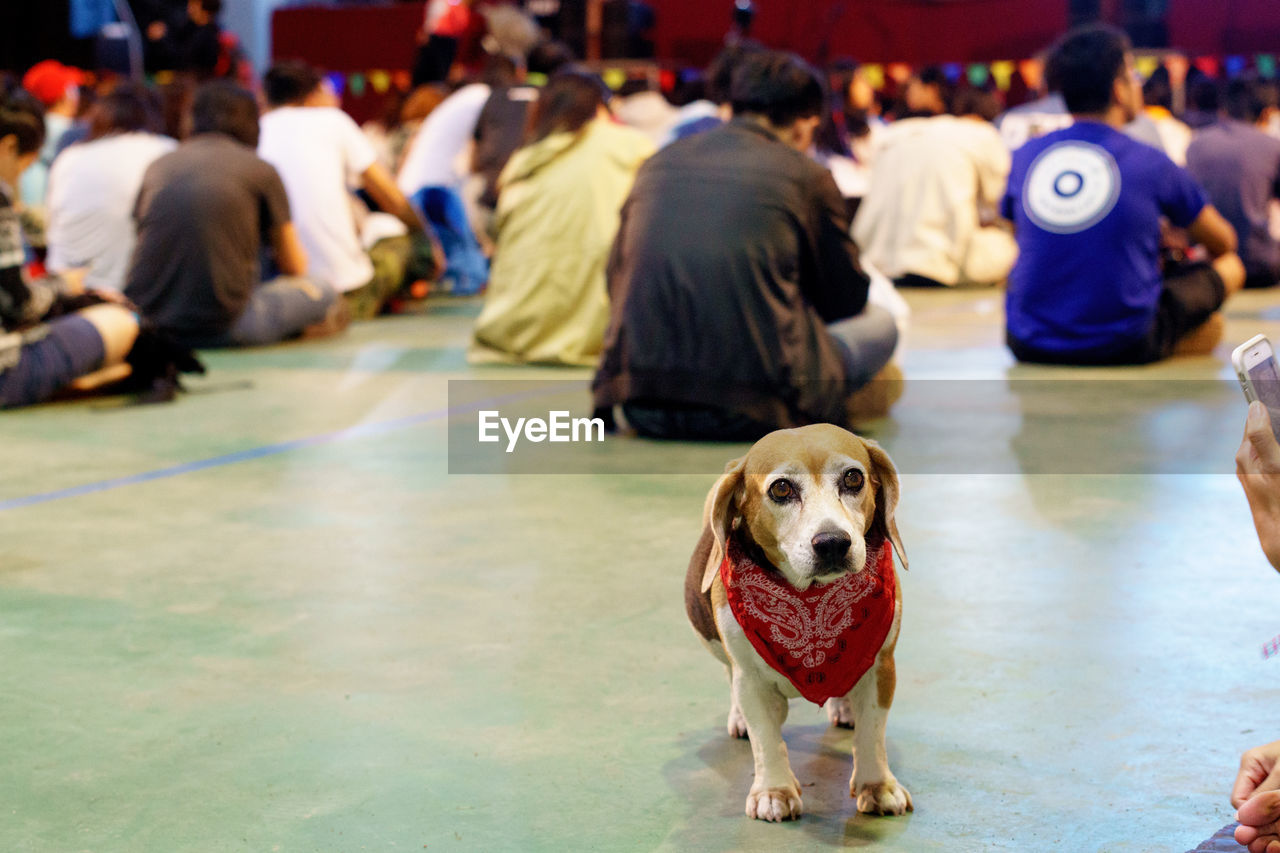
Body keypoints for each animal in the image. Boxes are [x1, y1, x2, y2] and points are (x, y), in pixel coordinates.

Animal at [691, 422, 911, 819]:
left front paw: (878, 786)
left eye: (853, 478)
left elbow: (872, 732)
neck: (810, 602)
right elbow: (766, 739)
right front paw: (773, 791)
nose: (833, 543)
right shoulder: (751, 681)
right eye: (781, 488)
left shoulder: (881, 666)